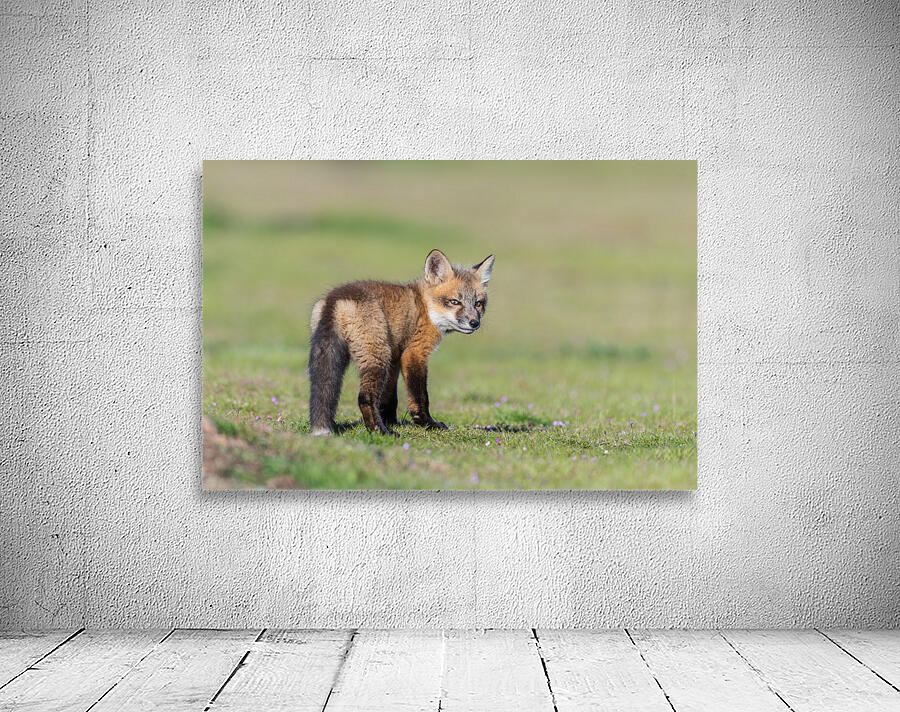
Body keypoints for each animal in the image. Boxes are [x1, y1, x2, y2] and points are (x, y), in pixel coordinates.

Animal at [308, 249, 494, 436]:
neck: (426, 309)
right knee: (365, 398)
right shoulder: (414, 353)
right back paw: (380, 431)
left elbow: (389, 399)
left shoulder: (395, 357)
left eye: (478, 304)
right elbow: (420, 396)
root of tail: (335, 298)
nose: (474, 323)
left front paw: (392, 422)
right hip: (377, 357)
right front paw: (427, 424)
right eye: (455, 302)